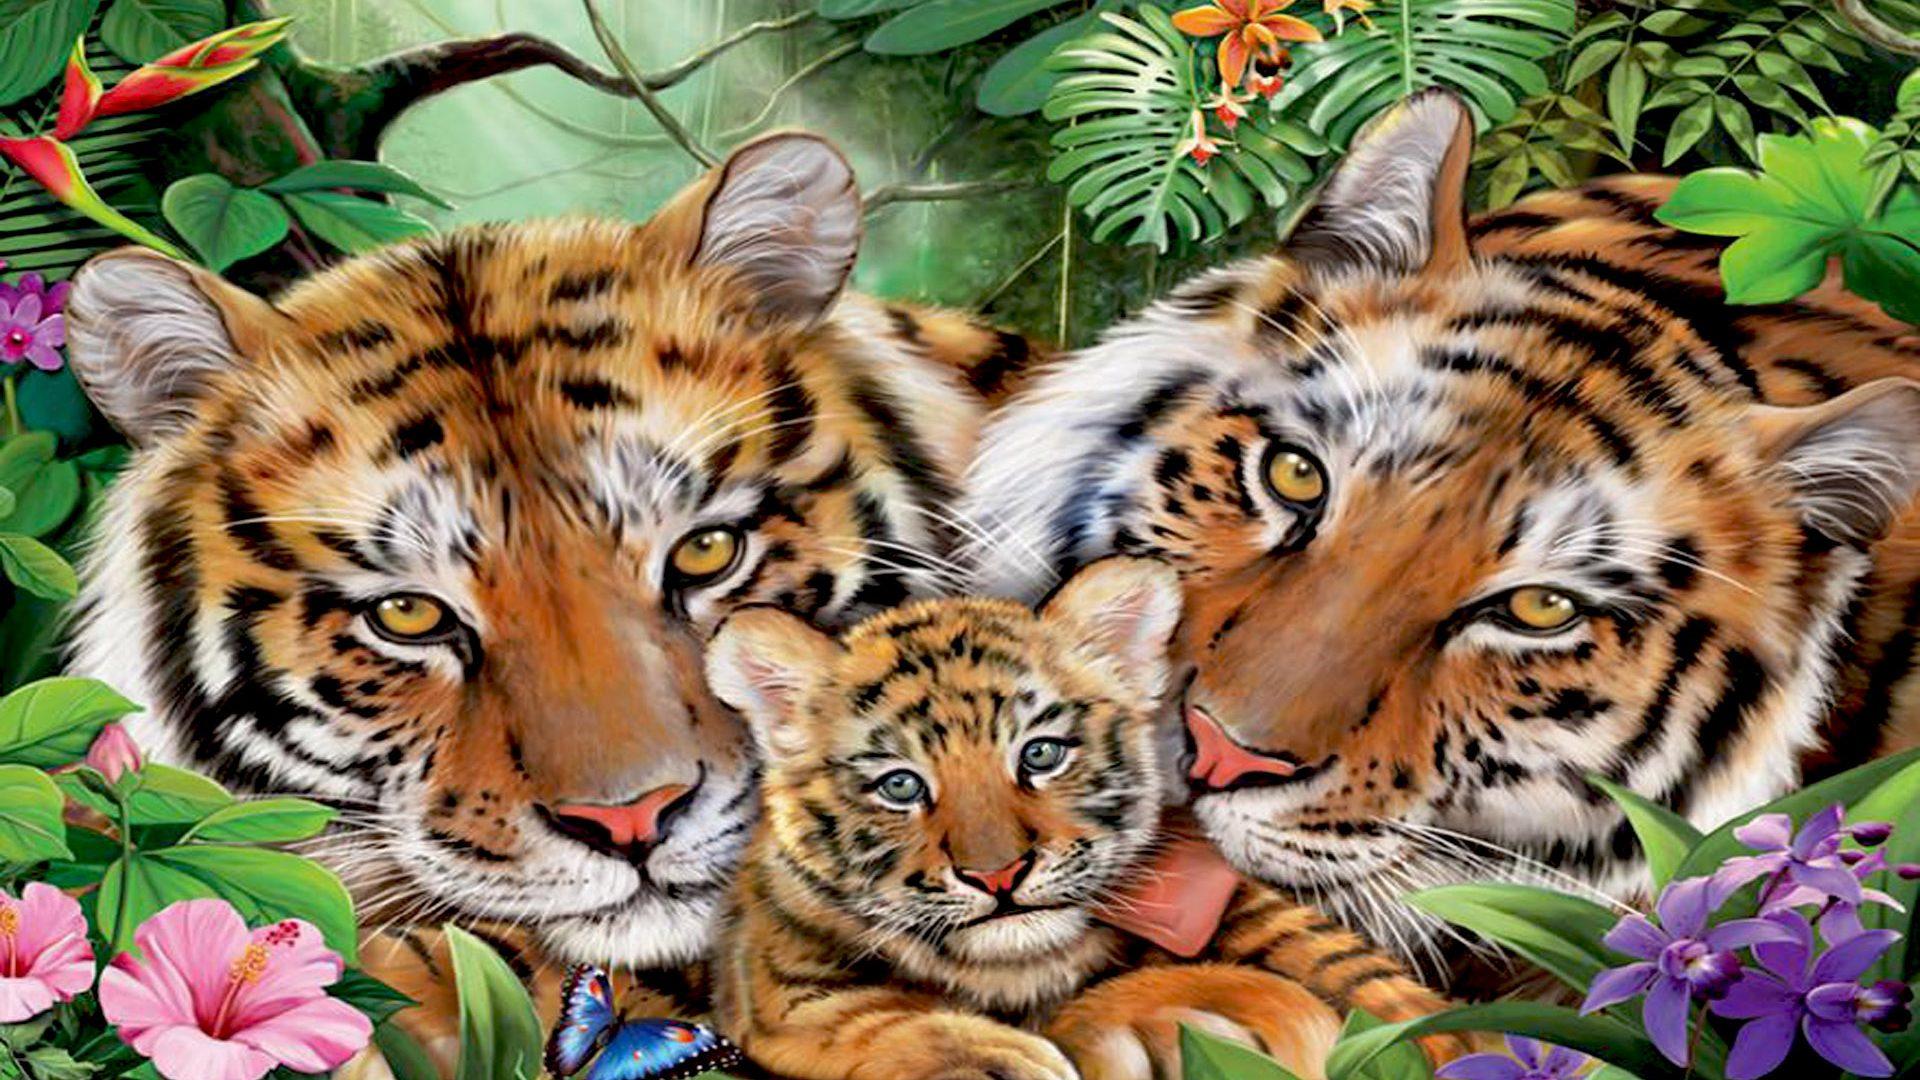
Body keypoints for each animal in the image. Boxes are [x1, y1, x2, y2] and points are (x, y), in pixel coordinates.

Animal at [704, 555, 1462, 1080]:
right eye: (899, 785)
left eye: (1040, 753)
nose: (999, 875)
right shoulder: (774, 984)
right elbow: (872, 1019)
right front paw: (1012, 1059)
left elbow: (1403, 1007)